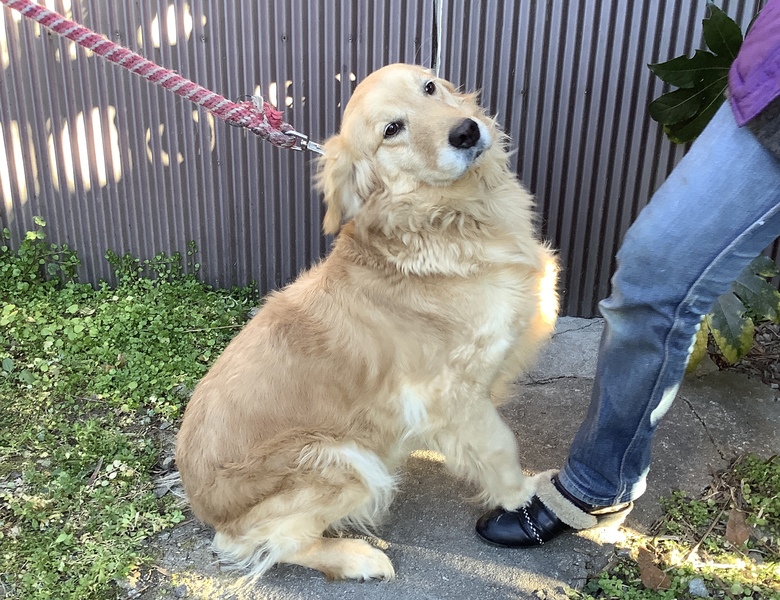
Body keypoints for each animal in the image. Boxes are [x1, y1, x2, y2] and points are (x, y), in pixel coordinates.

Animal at [175, 63, 558, 581]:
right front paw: (523, 499)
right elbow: (502, 448)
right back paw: (357, 556)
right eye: (392, 130)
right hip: (344, 459)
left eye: (430, 87)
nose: (466, 131)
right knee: (268, 543)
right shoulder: (452, 393)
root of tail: (203, 507)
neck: (441, 220)